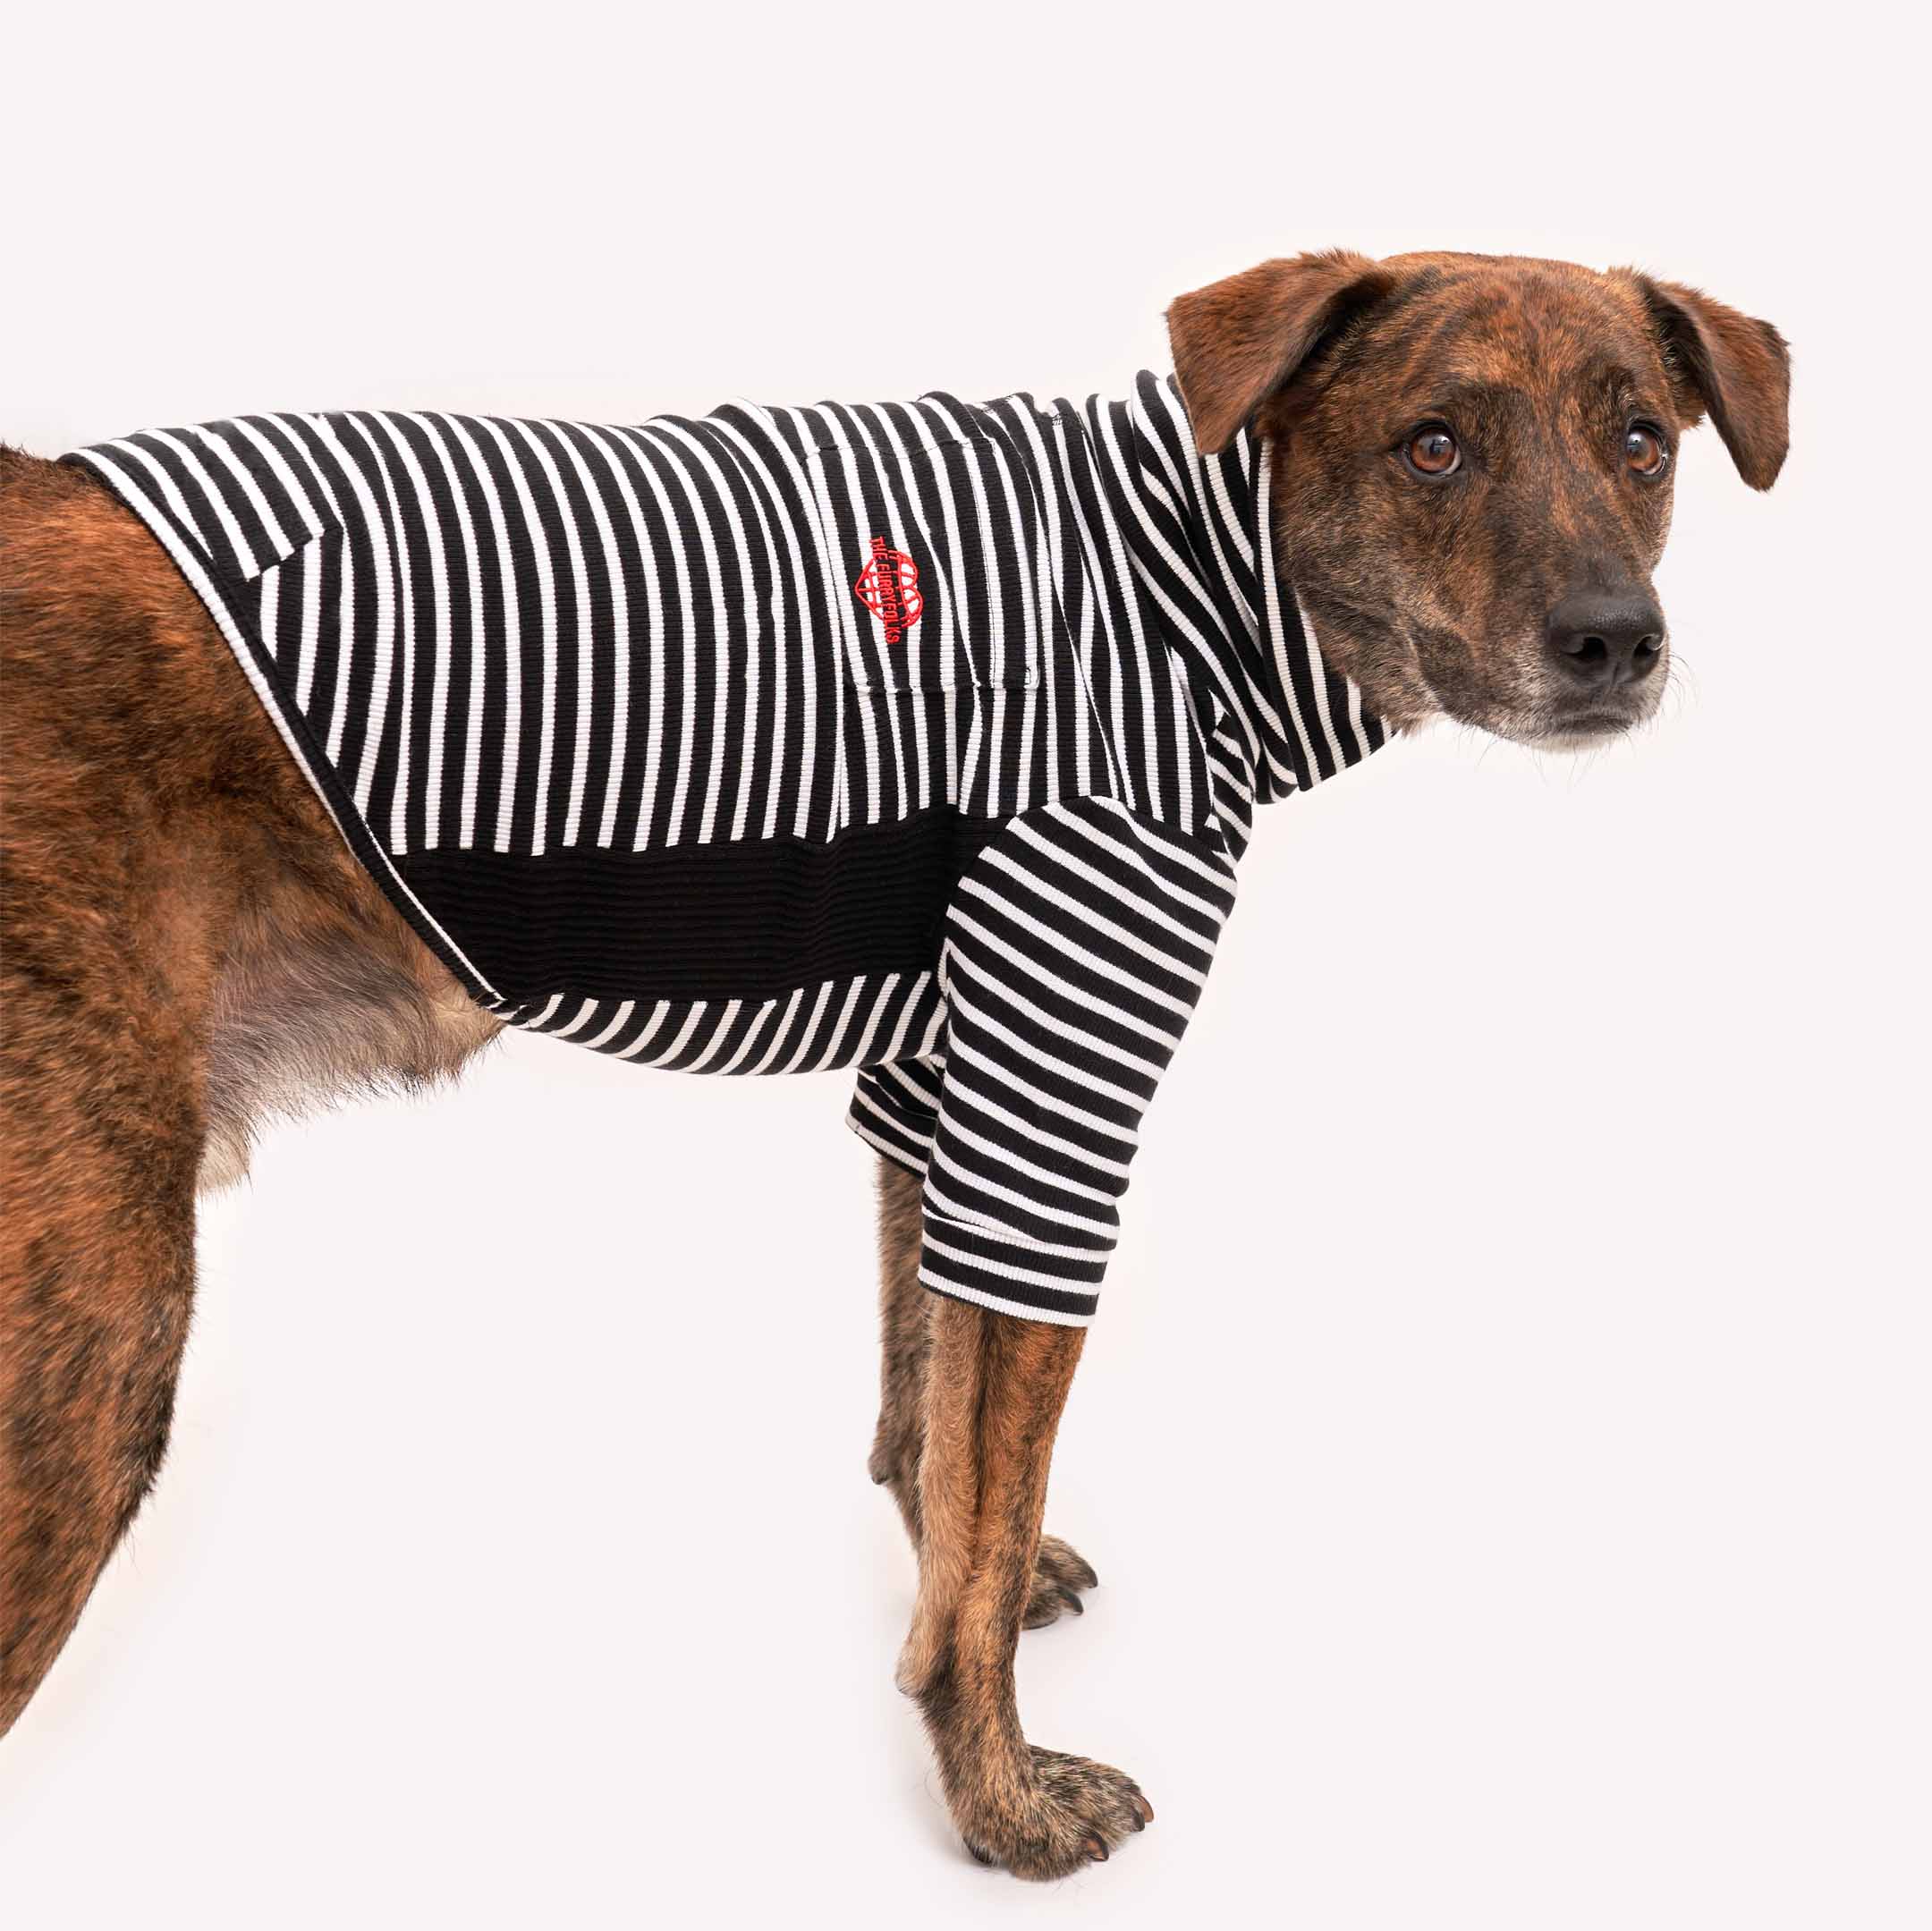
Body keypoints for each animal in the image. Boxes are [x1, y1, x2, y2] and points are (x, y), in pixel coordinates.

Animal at [0, 249, 1777, 1876]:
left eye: (1642, 438)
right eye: (1433, 447)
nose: (1614, 640)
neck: (1179, 576)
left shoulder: (940, 1078)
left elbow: (936, 1418)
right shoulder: (1055, 1086)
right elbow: (978, 1501)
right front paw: (1002, 1799)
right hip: (92, 1332)